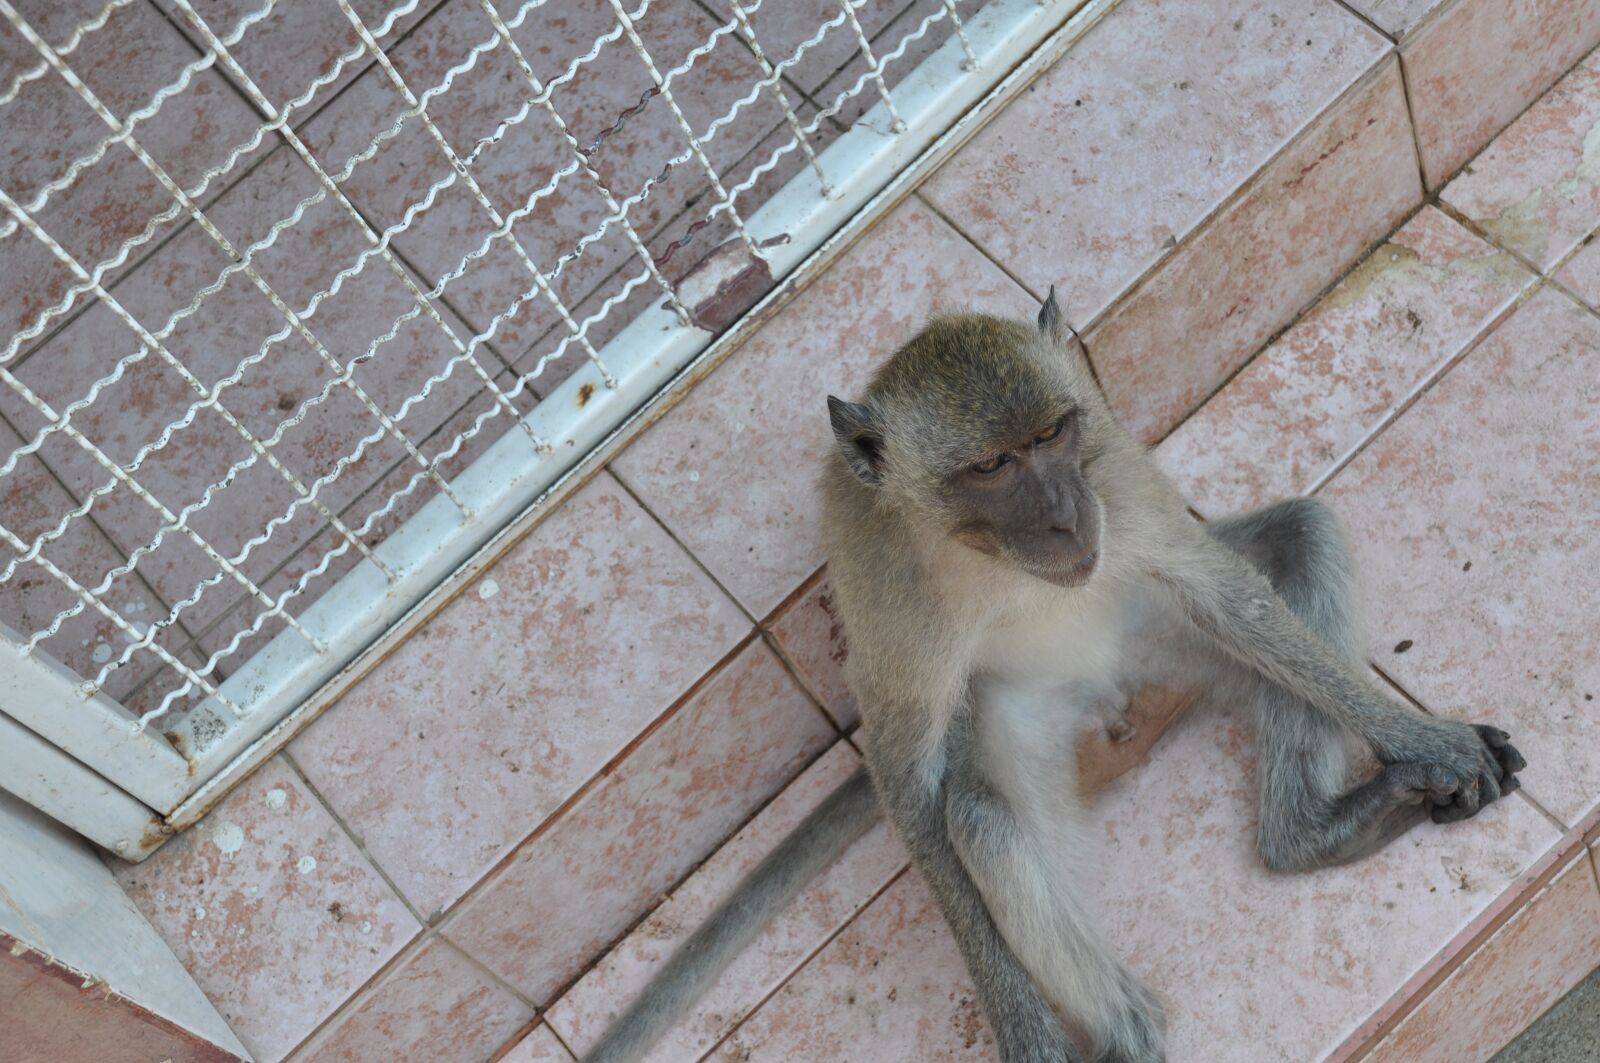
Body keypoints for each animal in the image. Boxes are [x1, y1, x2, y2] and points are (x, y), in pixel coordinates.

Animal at [582, 290, 1525, 1063]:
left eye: (1050, 436)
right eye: (993, 466)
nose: (1069, 518)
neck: (983, 550)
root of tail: (1122, 707)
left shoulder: (1110, 468)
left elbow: (1222, 591)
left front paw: (1423, 741)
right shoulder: (888, 585)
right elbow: (910, 782)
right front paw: (1026, 1028)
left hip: (1160, 645)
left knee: (1302, 534)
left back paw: (1315, 832)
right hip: (1025, 720)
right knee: (980, 814)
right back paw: (1128, 1026)